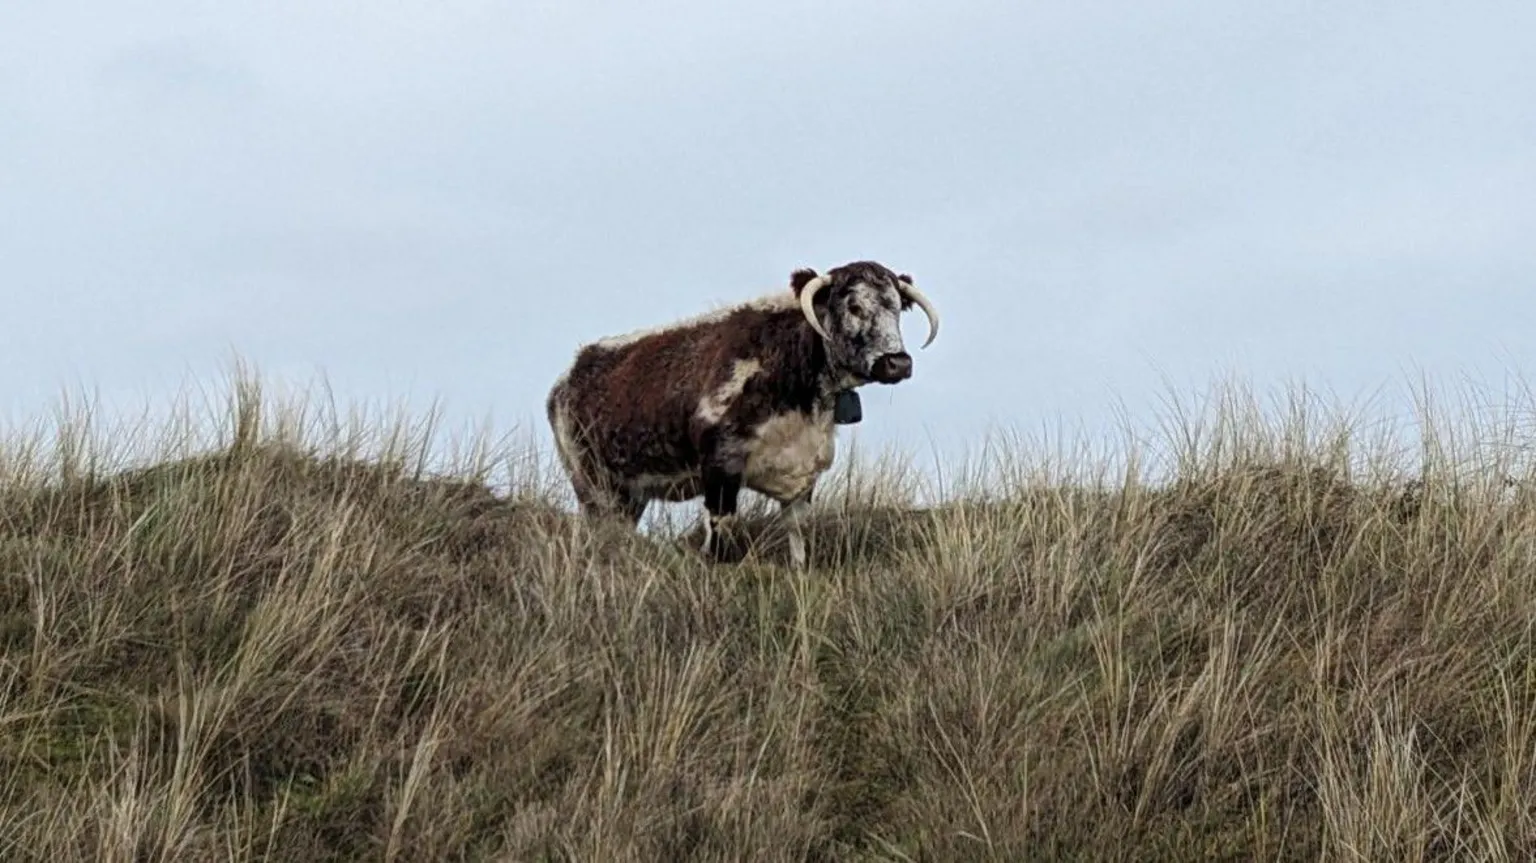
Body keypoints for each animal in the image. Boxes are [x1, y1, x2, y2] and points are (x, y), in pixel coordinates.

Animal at [545, 260, 940, 568]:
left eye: (895, 308)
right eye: (854, 306)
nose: (897, 363)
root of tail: (568, 377)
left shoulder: (804, 476)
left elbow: (797, 537)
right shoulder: (721, 465)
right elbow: (720, 535)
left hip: (629, 493)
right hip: (592, 483)